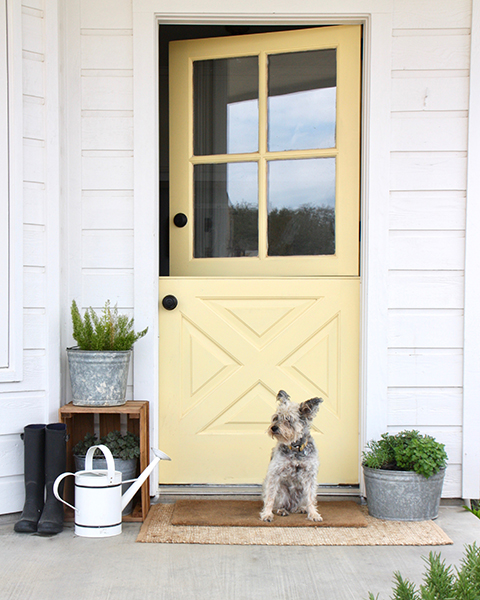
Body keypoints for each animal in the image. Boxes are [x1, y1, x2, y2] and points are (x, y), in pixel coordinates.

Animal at [260, 392, 324, 524]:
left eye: (288, 419)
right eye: (276, 418)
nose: (273, 428)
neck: (295, 447)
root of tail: (292, 505)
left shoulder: (310, 476)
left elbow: (311, 498)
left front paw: (313, 514)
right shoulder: (275, 473)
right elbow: (270, 497)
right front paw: (267, 514)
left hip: (301, 493)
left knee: (300, 504)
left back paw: (301, 508)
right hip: (282, 491)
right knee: (278, 503)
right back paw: (281, 510)